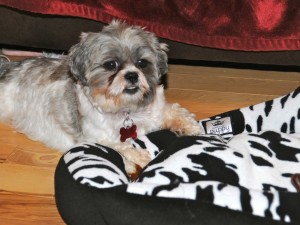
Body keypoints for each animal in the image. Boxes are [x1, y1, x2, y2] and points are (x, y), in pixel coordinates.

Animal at [0, 20, 202, 177]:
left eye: (142, 63)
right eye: (111, 64)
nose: (132, 75)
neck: (126, 111)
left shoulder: (157, 111)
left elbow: (176, 112)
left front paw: (193, 128)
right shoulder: (92, 136)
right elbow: (116, 145)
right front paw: (136, 159)